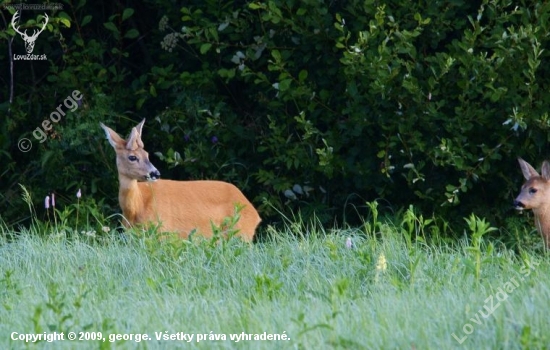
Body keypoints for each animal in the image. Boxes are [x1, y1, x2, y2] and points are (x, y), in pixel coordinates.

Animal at [101, 119, 260, 242]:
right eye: (132, 157)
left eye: (147, 154)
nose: (155, 173)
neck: (137, 208)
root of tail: (255, 213)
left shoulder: (163, 229)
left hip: (241, 233)